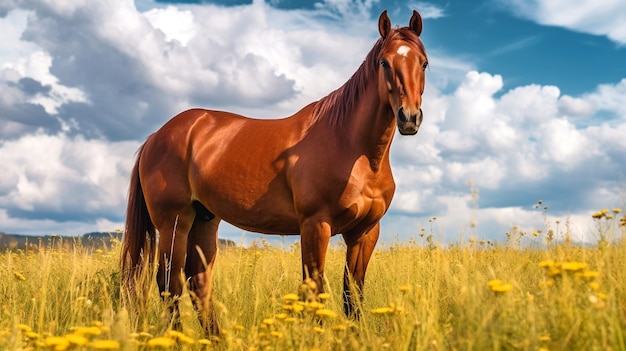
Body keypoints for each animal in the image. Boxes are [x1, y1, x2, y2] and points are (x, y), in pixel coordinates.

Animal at [120, 10, 424, 336]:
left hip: (204, 219)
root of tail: (157, 136)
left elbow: (352, 295)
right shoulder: (315, 225)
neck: (354, 150)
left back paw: (215, 339)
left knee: (198, 282)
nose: (409, 117)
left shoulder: (365, 232)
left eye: (423, 62)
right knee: (169, 284)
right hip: (174, 222)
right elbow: (314, 289)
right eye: (384, 62)